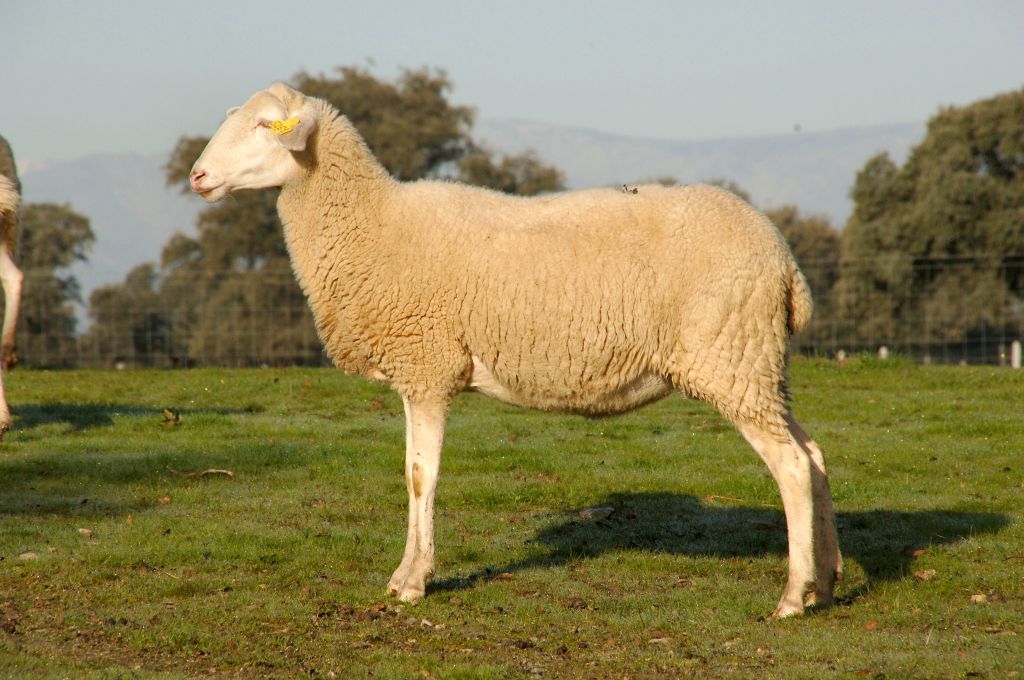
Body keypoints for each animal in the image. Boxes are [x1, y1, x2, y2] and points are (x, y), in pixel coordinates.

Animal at [190, 82, 843, 617]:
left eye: (263, 125)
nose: (196, 176)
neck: (370, 224)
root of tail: (785, 263)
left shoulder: (427, 366)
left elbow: (421, 477)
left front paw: (413, 582)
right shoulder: (416, 372)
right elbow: (411, 474)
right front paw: (405, 575)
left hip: (732, 360)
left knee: (789, 466)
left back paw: (792, 596)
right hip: (760, 365)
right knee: (813, 457)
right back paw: (827, 582)